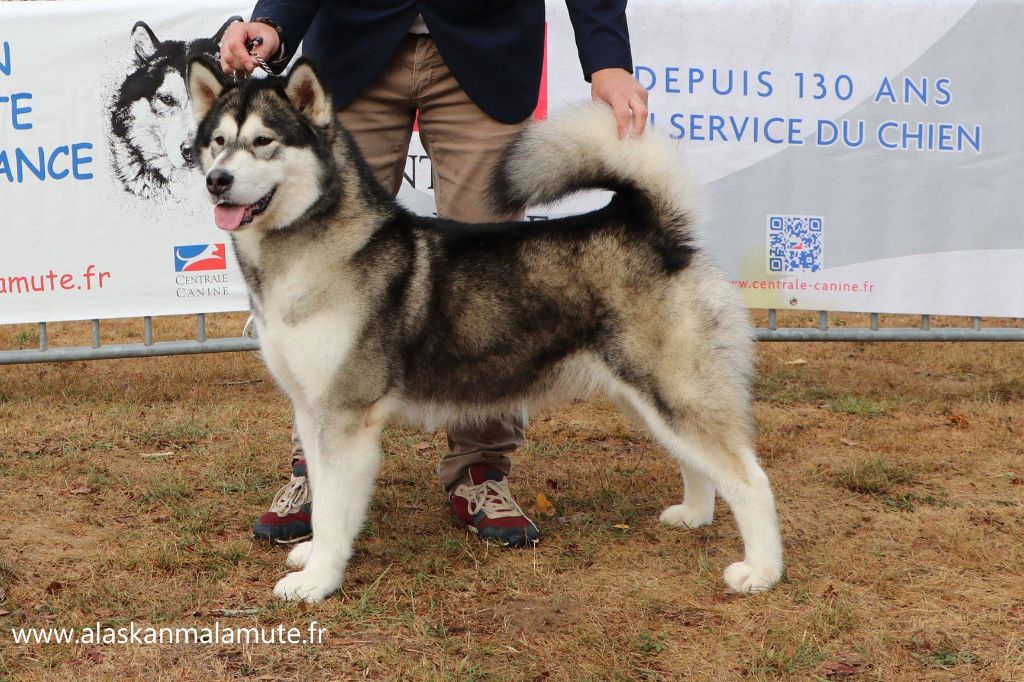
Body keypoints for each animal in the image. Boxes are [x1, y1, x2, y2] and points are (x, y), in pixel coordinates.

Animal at [188, 57, 778, 602]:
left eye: (263, 142)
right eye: (218, 143)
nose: (218, 182)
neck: (308, 252)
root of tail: (653, 229)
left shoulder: (346, 415)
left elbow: (334, 507)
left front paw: (318, 580)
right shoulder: (311, 410)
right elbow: (325, 501)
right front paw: (314, 552)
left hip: (674, 390)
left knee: (751, 479)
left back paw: (761, 572)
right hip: (642, 395)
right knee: (697, 462)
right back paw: (695, 514)